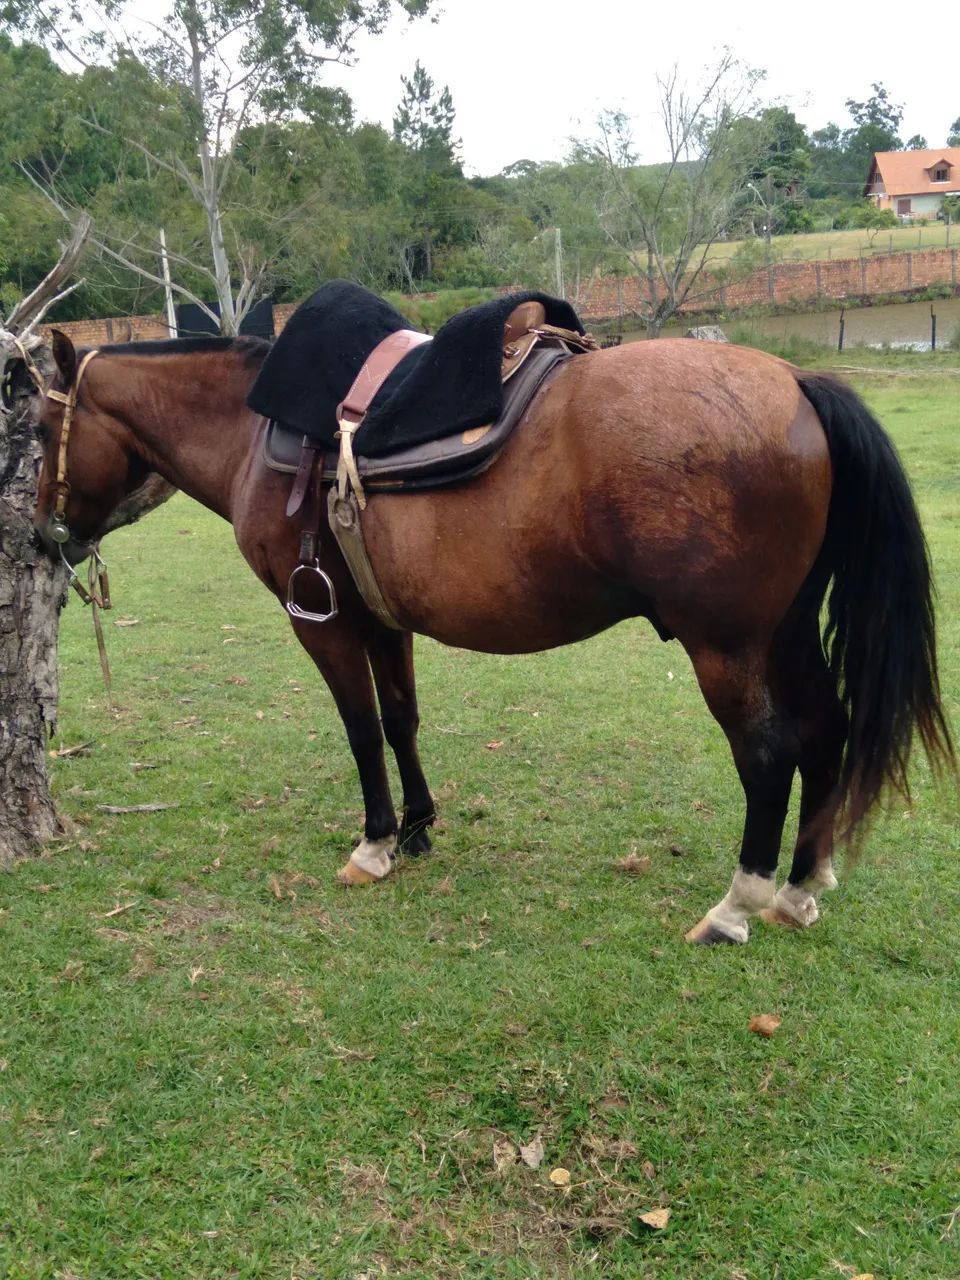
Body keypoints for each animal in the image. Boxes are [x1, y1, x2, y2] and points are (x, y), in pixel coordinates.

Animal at [26, 327, 952, 946]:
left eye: (35, 430)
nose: (42, 534)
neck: (259, 435)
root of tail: (797, 382)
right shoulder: (381, 620)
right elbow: (400, 720)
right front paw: (418, 828)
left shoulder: (321, 622)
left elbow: (359, 730)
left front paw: (374, 843)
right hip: (784, 633)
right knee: (828, 731)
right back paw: (800, 888)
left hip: (727, 648)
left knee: (767, 755)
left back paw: (738, 906)